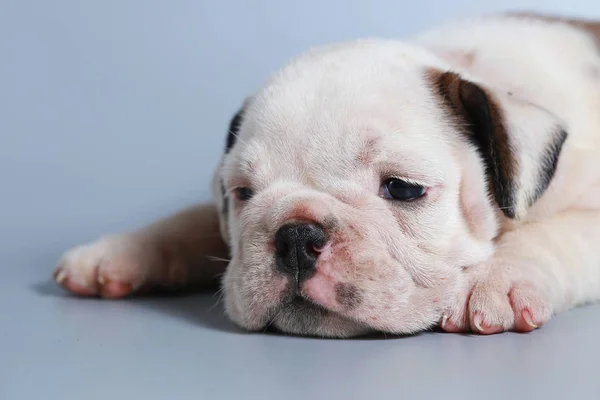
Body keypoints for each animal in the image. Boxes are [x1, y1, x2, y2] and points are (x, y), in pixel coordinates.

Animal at [52, 12, 600, 336]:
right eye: (243, 193)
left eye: (403, 189)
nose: (295, 236)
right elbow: (192, 220)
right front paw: (117, 253)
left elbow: (551, 235)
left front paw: (493, 278)